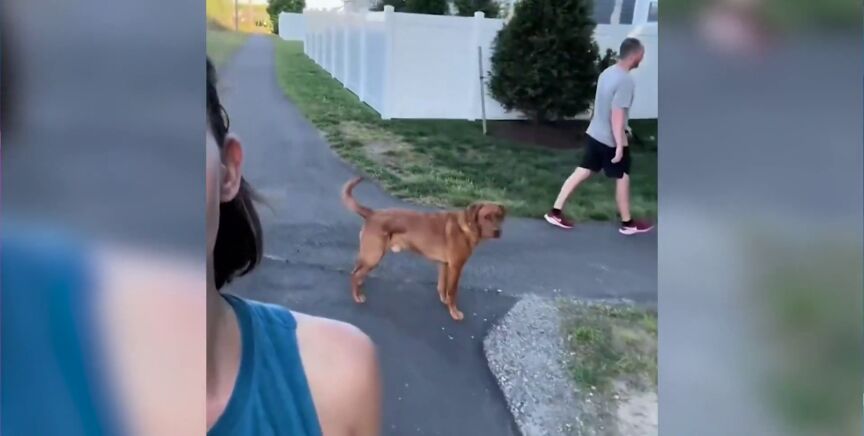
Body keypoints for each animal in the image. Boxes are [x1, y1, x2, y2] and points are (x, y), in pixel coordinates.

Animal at [341, 177, 506, 321]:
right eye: (486, 217)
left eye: (499, 216)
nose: (497, 232)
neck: (468, 227)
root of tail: (373, 213)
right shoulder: (456, 267)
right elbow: (453, 291)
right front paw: (454, 312)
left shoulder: (444, 265)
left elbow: (442, 286)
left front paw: (444, 300)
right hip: (374, 255)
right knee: (355, 274)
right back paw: (357, 296)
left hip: (369, 255)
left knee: (356, 270)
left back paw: (360, 284)